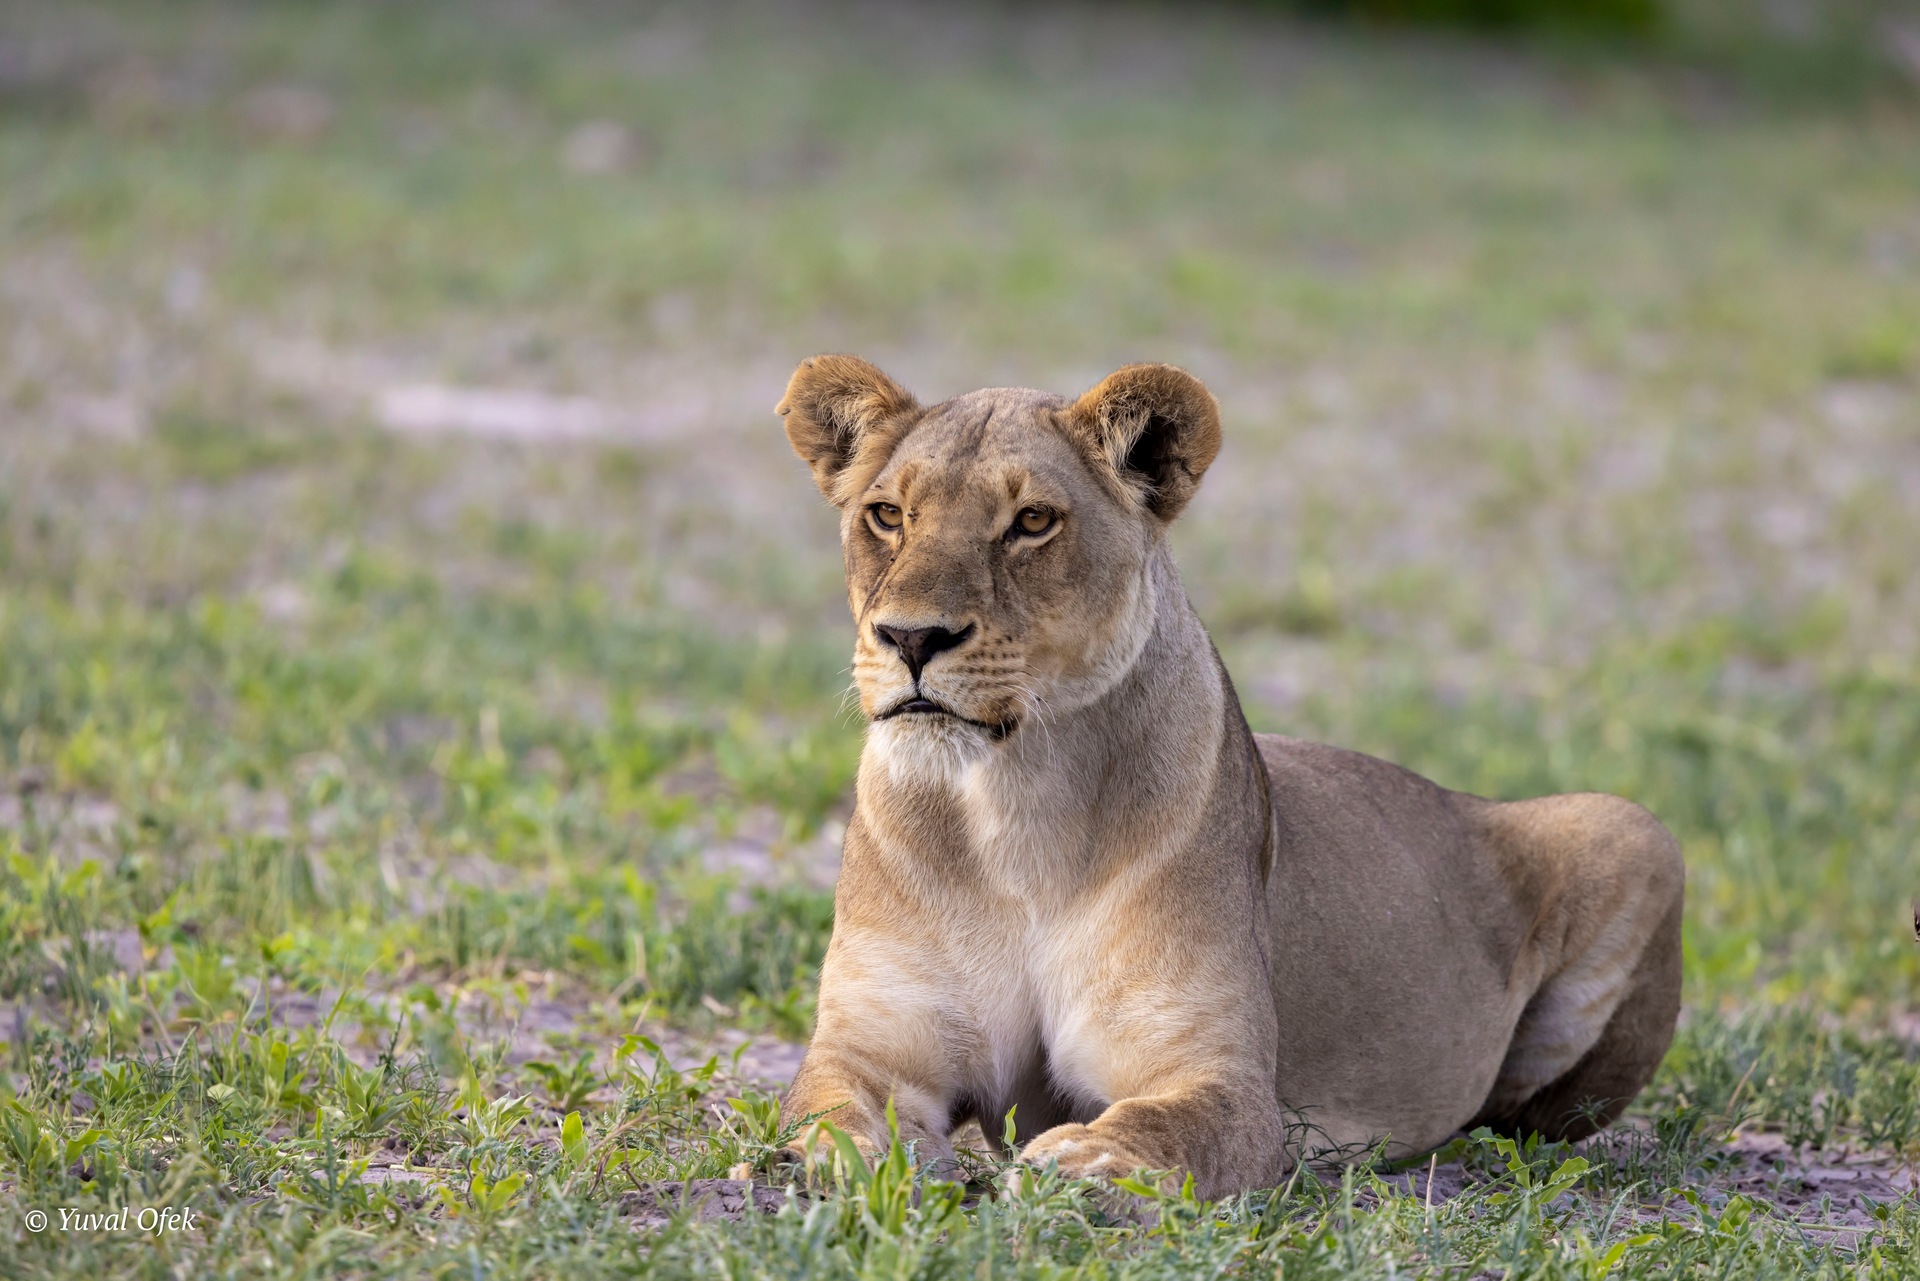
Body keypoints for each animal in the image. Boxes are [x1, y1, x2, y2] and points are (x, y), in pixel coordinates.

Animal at [774, 355, 1684, 1197]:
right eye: (887, 515)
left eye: (1031, 521)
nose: (911, 638)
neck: (1009, 804)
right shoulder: (871, 1047)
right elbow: (826, 1110)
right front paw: (868, 1160)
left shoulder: (1226, 1082)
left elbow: (1169, 1126)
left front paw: (1083, 1160)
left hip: (1633, 828)